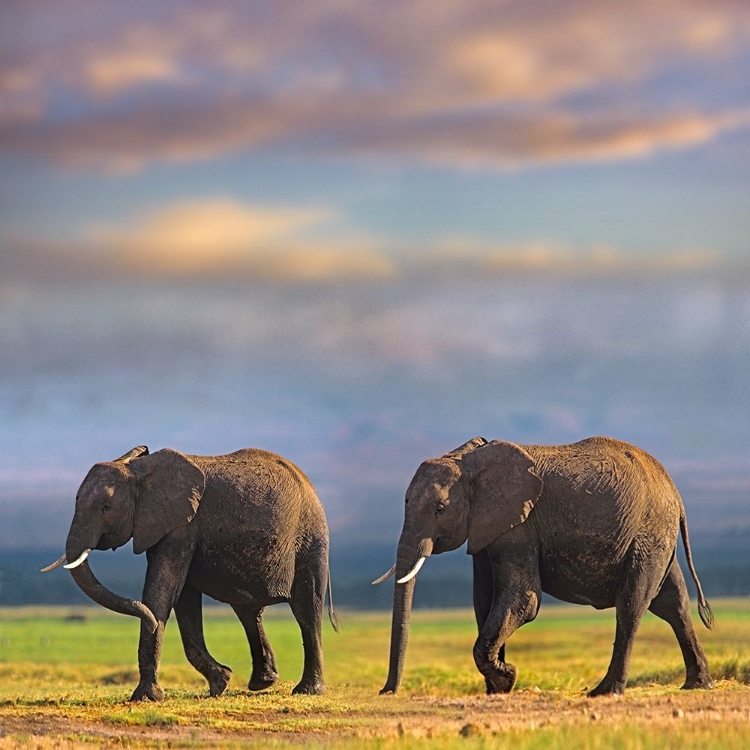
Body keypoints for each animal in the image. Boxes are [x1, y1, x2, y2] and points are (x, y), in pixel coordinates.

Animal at [42, 444, 340, 704]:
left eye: (106, 508)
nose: (149, 621)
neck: (139, 470)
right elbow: (183, 599)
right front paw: (221, 682)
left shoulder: (181, 527)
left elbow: (163, 592)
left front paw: (146, 697)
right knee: (248, 612)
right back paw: (262, 683)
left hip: (311, 537)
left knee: (306, 609)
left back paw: (307, 691)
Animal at [376, 438, 716, 696]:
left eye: (440, 509)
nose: (386, 691)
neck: (469, 460)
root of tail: (675, 492)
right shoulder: (487, 528)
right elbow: (484, 601)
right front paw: (497, 688)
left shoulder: (519, 527)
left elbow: (522, 600)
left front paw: (507, 677)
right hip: (657, 536)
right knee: (673, 603)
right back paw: (697, 685)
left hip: (647, 534)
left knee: (632, 606)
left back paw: (605, 692)